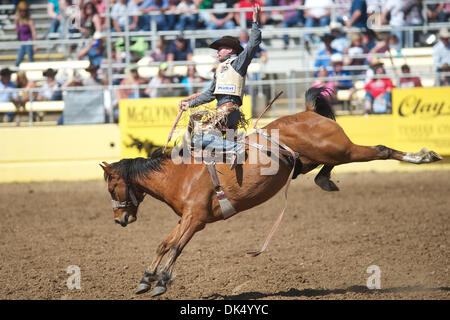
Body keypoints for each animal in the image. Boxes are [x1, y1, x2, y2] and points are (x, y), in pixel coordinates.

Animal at [100, 87, 442, 298]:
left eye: (111, 185)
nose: (119, 219)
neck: (180, 175)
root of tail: (308, 113)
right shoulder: (186, 218)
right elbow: (164, 244)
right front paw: (146, 279)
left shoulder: (195, 219)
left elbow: (175, 246)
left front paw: (161, 282)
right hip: (315, 157)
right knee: (324, 166)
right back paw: (326, 180)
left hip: (341, 149)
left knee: (380, 149)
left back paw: (424, 156)